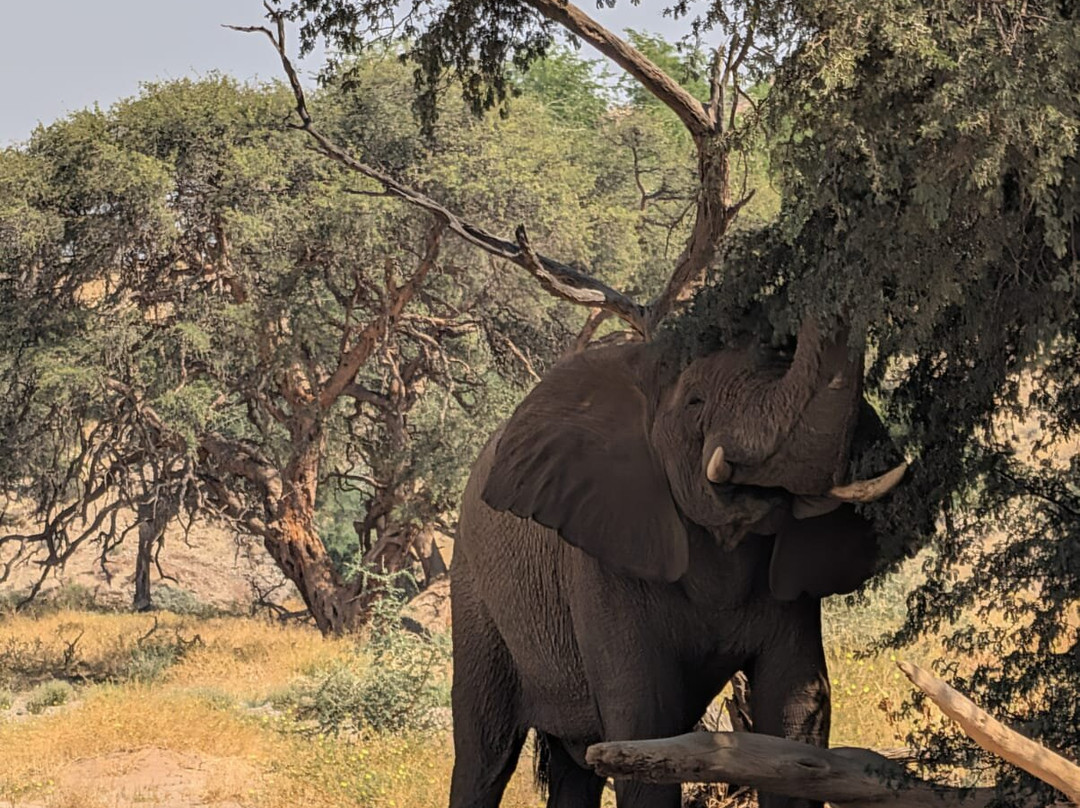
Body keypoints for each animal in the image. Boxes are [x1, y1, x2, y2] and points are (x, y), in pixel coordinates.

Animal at [448, 319, 907, 808]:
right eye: (694, 403)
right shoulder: (602, 559)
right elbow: (646, 720)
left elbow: (794, 712)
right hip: (475, 597)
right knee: (485, 756)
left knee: (576, 769)